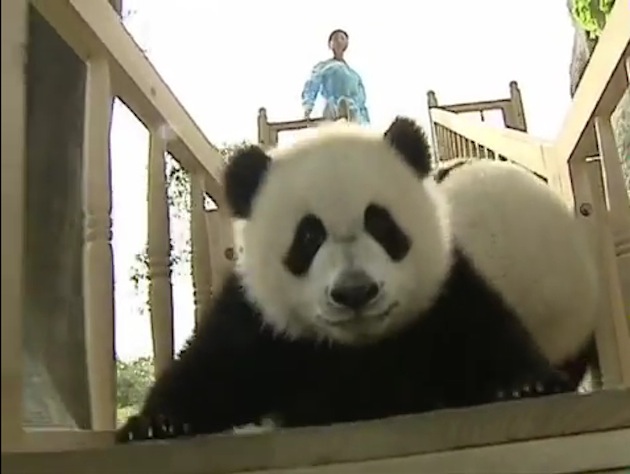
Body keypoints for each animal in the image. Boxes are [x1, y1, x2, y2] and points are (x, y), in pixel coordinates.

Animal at [118, 118, 576, 444]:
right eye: (308, 236)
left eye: (381, 223)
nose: (355, 292)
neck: (357, 351)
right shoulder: (259, 321)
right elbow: (214, 368)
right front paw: (156, 423)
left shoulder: (444, 298)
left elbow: (485, 335)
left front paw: (531, 383)